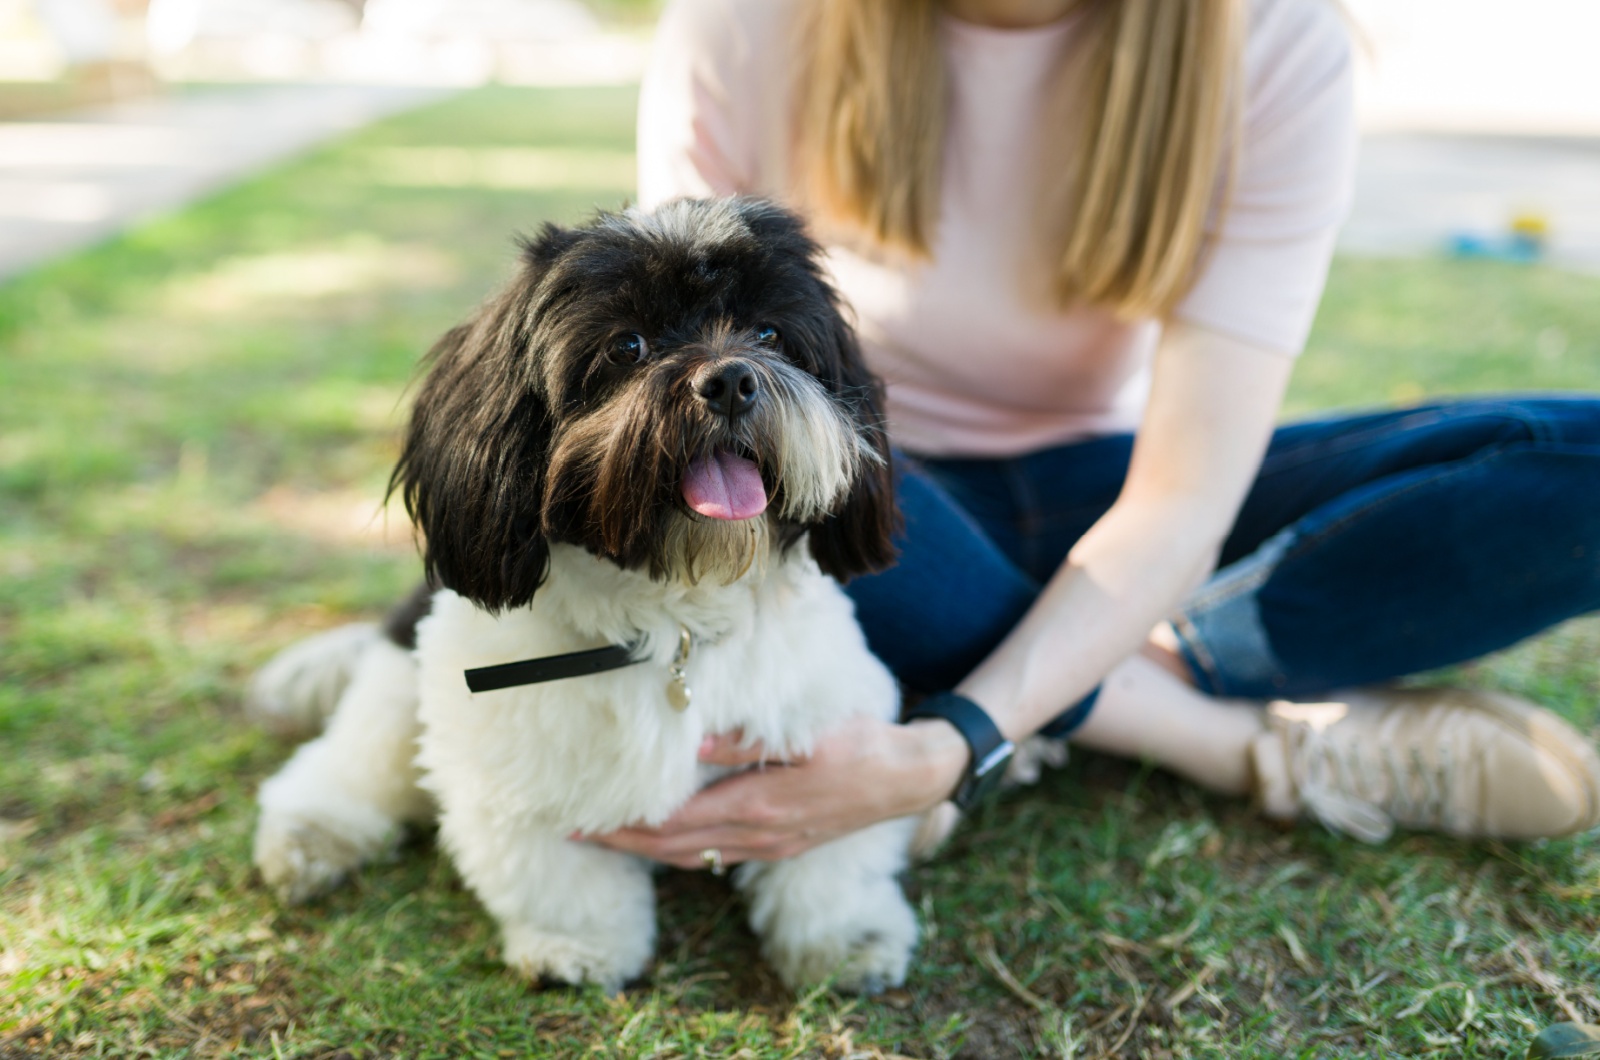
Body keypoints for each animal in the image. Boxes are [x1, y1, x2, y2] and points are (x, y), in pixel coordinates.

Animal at [251, 196, 928, 999]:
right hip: (396, 689)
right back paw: (313, 831)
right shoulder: (510, 769)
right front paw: (576, 948)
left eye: (769, 334)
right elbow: (556, 874)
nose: (731, 378)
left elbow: (831, 858)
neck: (673, 615)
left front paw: (845, 939)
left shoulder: (823, 736)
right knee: (350, 764)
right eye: (628, 346)